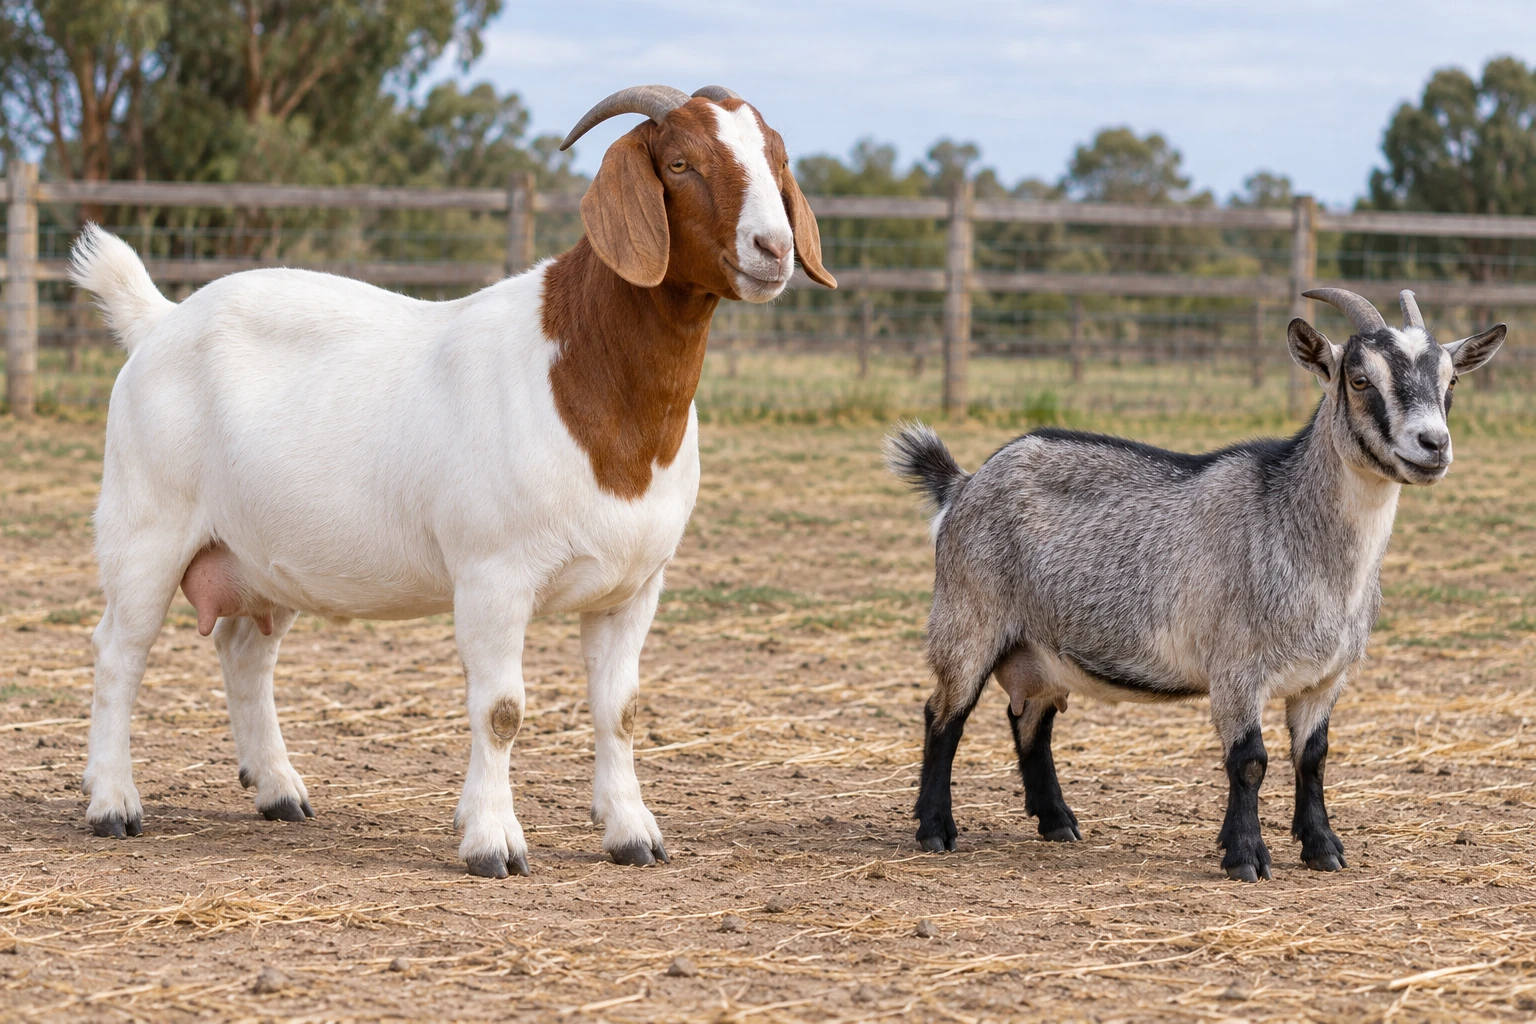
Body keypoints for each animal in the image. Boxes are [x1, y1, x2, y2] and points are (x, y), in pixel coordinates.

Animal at [70, 84, 835, 878]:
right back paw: (113, 803)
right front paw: (493, 843)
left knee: (245, 654)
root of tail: (158, 322)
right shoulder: (494, 575)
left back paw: (278, 789)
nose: (774, 249)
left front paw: (632, 834)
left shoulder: (635, 587)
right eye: (680, 162)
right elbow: (501, 711)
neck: (586, 375)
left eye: (777, 159)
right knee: (118, 652)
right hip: (145, 528)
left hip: (257, 556)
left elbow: (619, 710)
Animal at [886, 289, 1504, 882]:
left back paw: (1058, 822)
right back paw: (937, 830)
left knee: (1030, 722)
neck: (1295, 531)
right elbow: (1250, 760)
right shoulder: (1236, 669)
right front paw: (1246, 857)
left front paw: (1323, 849)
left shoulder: (1327, 677)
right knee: (944, 714)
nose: (1433, 445)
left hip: (1039, 650)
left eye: (1451, 380)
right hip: (968, 617)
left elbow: (1314, 757)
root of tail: (963, 484)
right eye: (1359, 380)